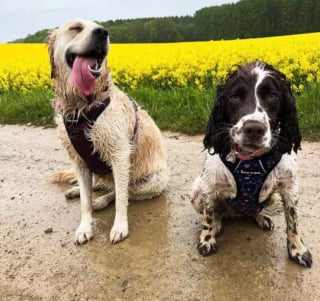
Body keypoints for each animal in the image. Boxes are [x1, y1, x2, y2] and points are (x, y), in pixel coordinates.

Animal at [190, 59, 312, 266]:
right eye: (234, 97)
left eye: (272, 95)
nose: (254, 129)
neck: (251, 161)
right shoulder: (209, 187)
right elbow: (208, 216)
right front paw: (207, 239)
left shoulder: (290, 187)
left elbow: (293, 222)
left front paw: (298, 250)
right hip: (196, 190)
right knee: (217, 213)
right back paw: (218, 225)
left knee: (254, 210)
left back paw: (262, 217)